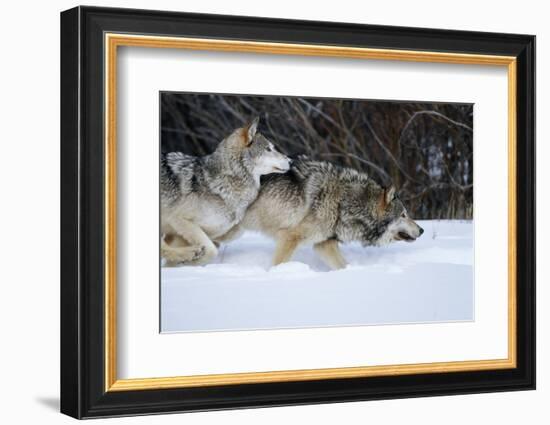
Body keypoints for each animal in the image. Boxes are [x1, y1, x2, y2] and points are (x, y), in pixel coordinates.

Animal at [162, 117, 294, 264]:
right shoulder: (178, 219)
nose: (291, 161)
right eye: (268, 149)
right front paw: (192, 263)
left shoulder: (183, 234)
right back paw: (190, 253)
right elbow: (211, 251)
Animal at [243, 157, 426, 270]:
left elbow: (343, 265)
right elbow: (277, 264)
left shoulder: (324, 244)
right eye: (403, 215)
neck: (343, 202)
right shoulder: (289, 237)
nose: (422, 230)